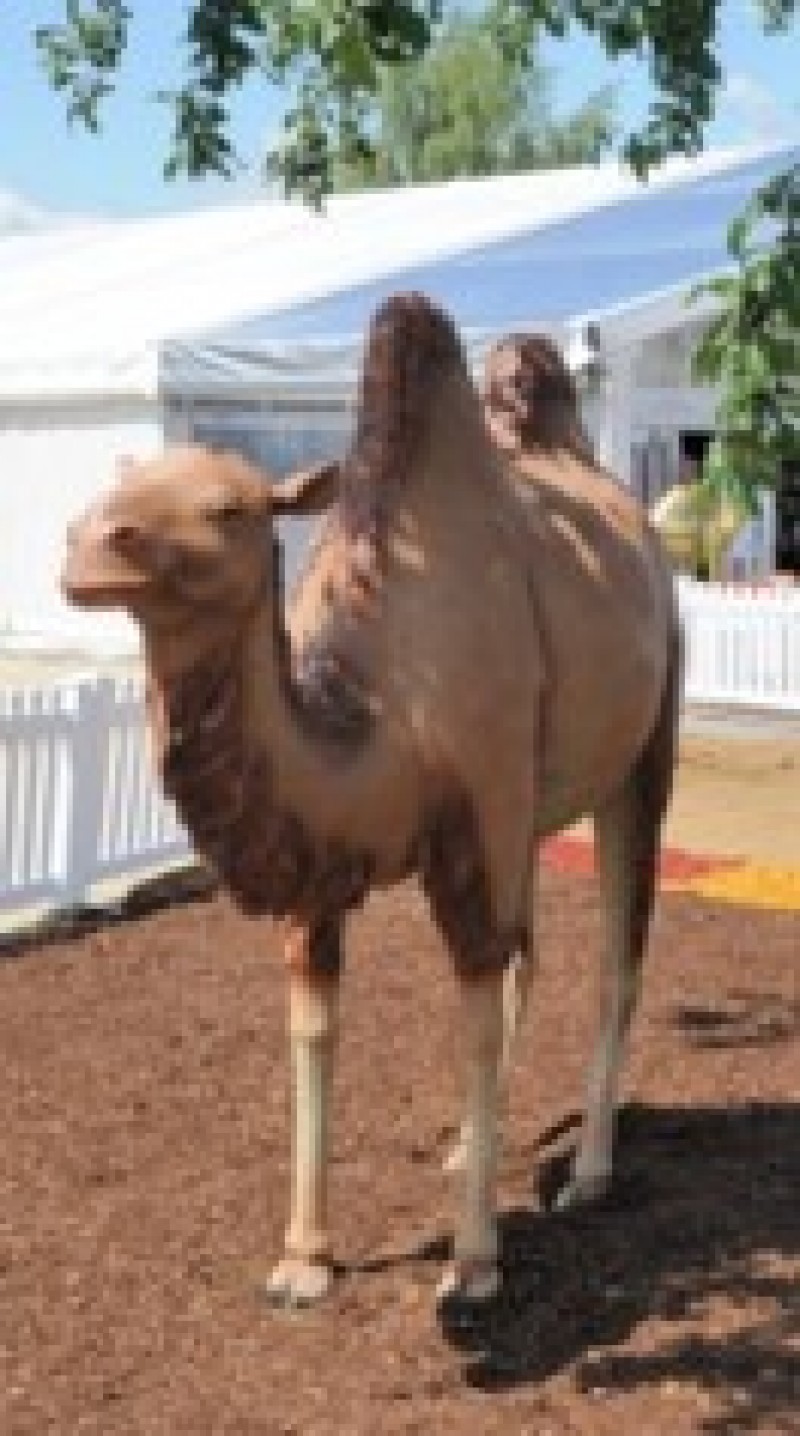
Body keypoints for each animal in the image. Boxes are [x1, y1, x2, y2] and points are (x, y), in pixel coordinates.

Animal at [61, 294, 681, 1318]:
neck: (383, 712)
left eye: (229, 507)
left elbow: (472, 1017)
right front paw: (303, 1259)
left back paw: (589, 1171)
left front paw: (474, 1263)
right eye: (128, 483)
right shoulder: (326, 866)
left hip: (641, 748)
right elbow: (316, 1026)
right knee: (535, 952)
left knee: (615, 958)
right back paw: (473, 1146)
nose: (84, 547)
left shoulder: (478, 815)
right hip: (531, 811)